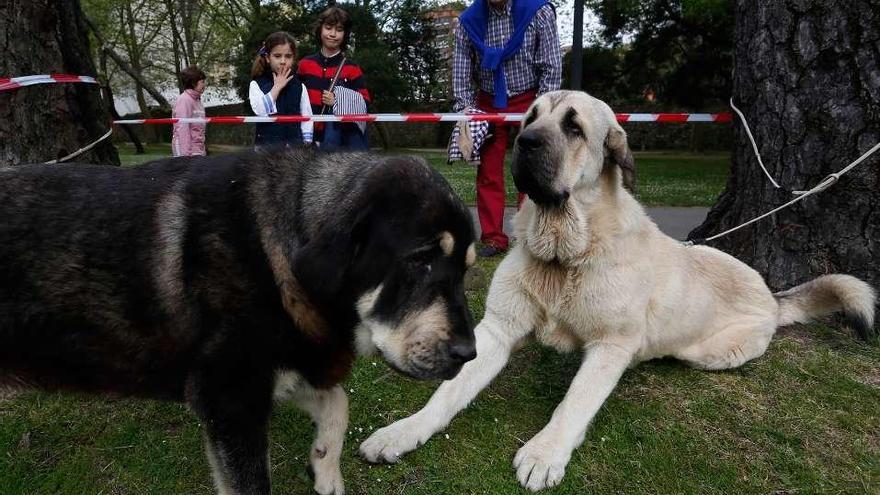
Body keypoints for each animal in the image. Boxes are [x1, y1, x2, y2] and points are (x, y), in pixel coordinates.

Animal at [0, 148, 478, 495]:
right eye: (420, 259)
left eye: (466, 268)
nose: (469, 354)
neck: (279, 250)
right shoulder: (229, 397)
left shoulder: (277, 371)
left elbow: (337, 403)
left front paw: (325, 468)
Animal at [358, 91, 872, 490]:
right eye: (530, 118)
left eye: (573, 127)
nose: (523, 142)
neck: (564, 255)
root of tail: (772, 296)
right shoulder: (497, 330)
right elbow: (446, 395)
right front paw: (403, 431)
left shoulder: (611, 345)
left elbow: (575, 401)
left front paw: (545, 452)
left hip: (707, 351)